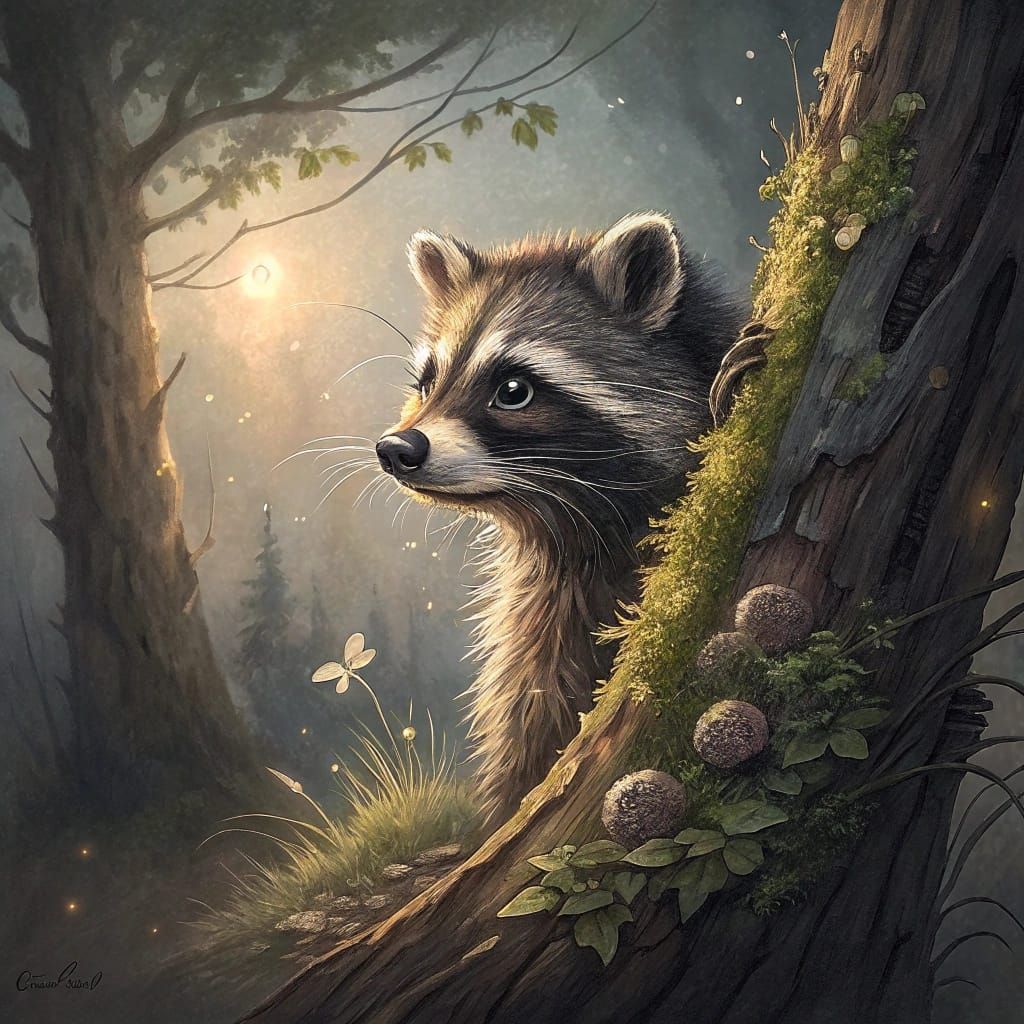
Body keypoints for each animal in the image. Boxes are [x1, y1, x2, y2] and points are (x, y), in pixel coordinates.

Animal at [375, 212, 757, 823]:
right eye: (428, 383)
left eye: (513, 390)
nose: (395, 449)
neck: (578, 528)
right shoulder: (544, 618)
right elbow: (531, 713)